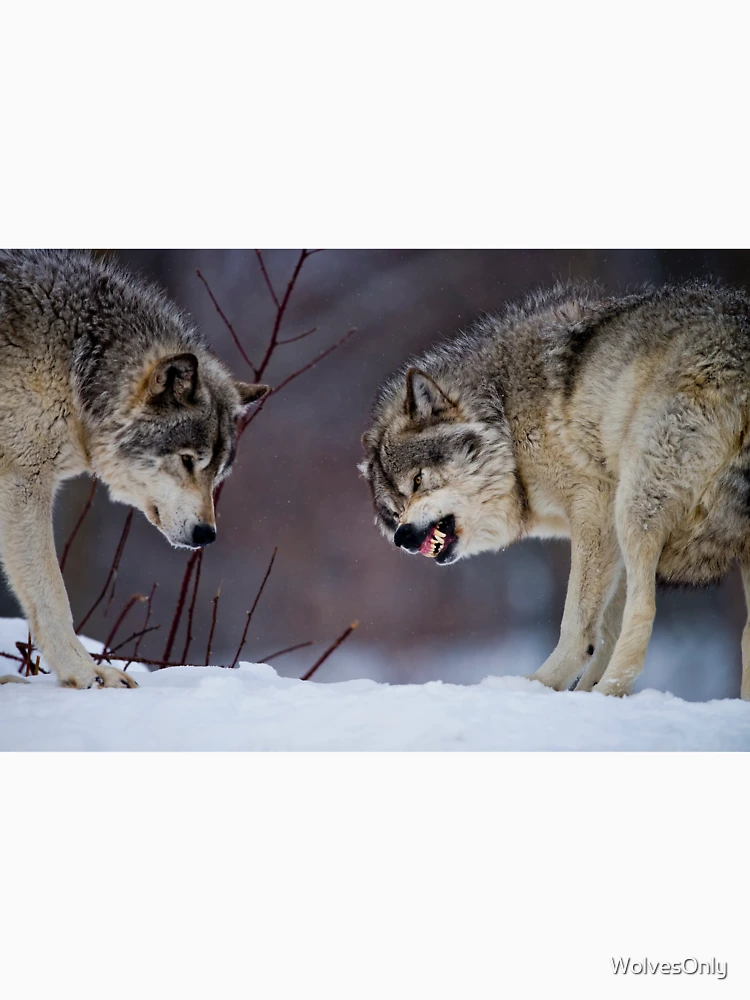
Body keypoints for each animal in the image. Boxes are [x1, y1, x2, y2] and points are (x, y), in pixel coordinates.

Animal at [0, 250, 268, 689]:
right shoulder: (23, 480)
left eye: (218, 473)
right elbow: (51, 594)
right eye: (188, 460)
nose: (207, 535)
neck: (74, 362)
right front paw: (86, 673)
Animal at [360, 280, 750, 699]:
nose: (402, 537)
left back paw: (605, 692)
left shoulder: (597, 506)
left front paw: (539, 688)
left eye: (417, 481)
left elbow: (579, 624)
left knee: (644, 610)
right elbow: (605, 631)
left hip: (635, 508)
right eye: (395, 509)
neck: (505, 416)